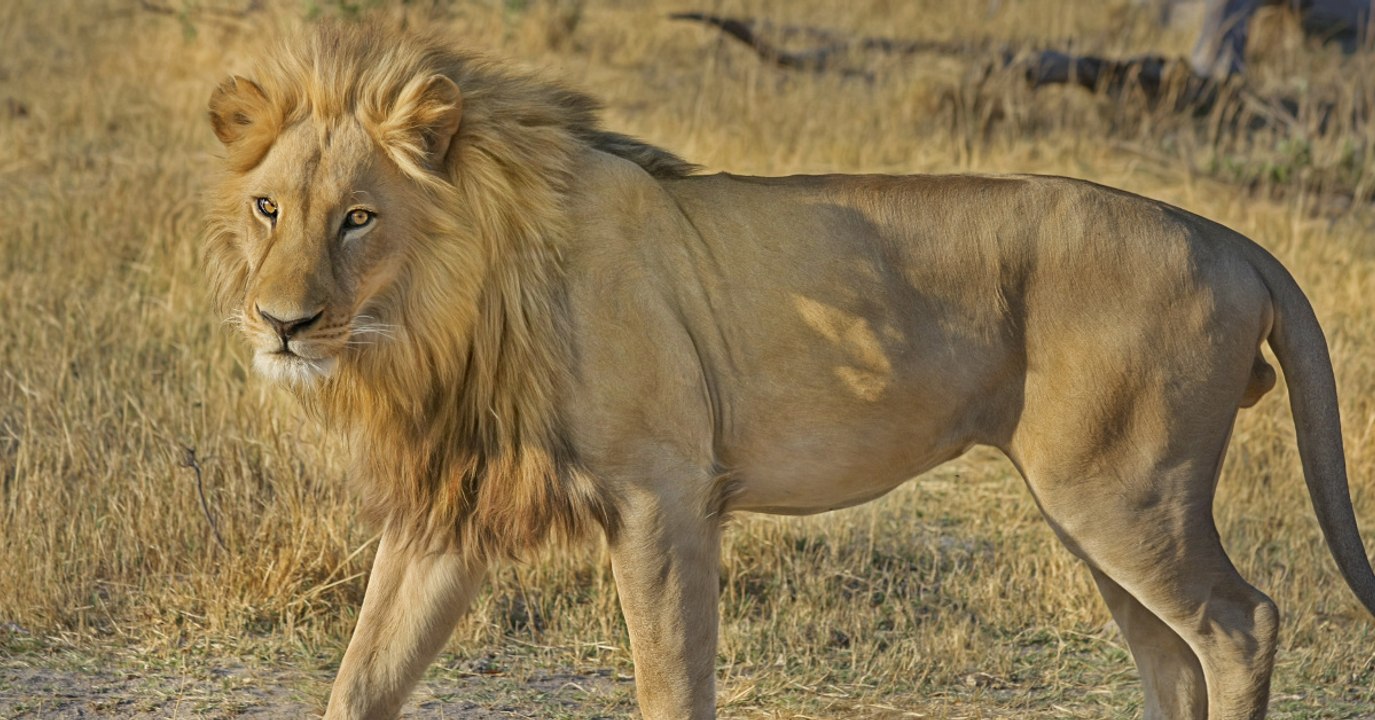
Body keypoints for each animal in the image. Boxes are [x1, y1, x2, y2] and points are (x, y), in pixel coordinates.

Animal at [203, 22, 1375, 720]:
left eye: (359, 218)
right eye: (268, 208)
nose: (282, 324)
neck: (438, 318)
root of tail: (1227, 237)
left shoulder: (662, 494)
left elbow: (671, 682)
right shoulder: (447, 510)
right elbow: (362, 676)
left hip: (1123, 494)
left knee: (1241, 624)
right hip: (1094, 511)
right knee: (1171, 654)